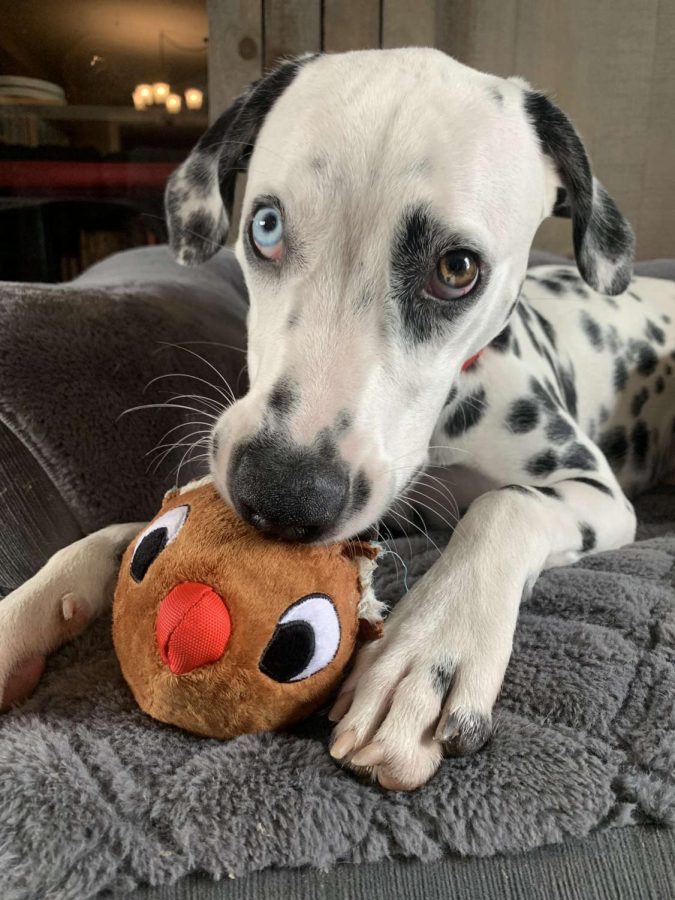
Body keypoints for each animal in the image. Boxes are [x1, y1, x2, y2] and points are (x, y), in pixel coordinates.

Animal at [1, 52, 675, 792]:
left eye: (457, 268)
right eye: (265, 227)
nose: (281, 495)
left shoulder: (593, 492)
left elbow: (503, 505)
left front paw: (424, 653)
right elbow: (119, 535)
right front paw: (28, 610)